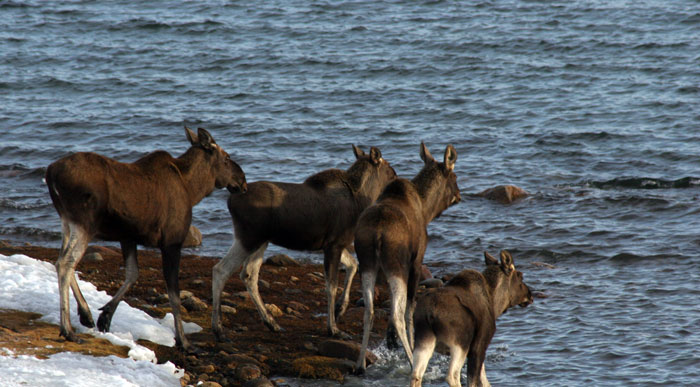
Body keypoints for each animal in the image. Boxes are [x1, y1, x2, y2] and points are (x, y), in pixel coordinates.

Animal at [43, 127, 246, 352]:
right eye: (226, 158)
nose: (242, 180)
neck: (193, 189)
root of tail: (50, 173)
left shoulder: (128, 237)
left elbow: (133, 274)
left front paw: (105, 316)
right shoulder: (172, 242)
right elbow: (174, 295)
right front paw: (183, 341)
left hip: (67, 222)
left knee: (60, 260)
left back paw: (86, 314)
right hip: (85, 223)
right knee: (66, 262)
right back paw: (68, 330)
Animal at [211, 144, 396, 342]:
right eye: (391, 172)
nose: (398, 180)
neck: (361, 200)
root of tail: (230, 201)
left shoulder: (335, 244)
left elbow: (352, 266)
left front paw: (340, 309)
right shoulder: (334, 244)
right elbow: (331, 286)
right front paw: (333, 328)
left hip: (260, 241)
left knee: (248, 275)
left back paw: (272, 323)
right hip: (248, 237)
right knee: (221, 270)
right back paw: (219, 330)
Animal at [352, 142, 462, 372]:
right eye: (454, 177)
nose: (459, 194)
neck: (427, 209)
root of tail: (377, 233)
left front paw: (391, 342)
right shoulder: (417, 261)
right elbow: (410, 308)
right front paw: (410, 346)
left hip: (367, 263)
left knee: (369, 309)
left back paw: (360, 364)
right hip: (397, 265)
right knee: (397, 313)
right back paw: (413, 362)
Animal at [408, 250, 532, 386]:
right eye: (520, 276)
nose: (530, 295)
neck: (495, 303)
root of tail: (430, 313)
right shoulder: (479, 346)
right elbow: (475, 380)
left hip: (423, 340)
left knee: (416, 375)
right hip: (460, 344)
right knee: (452, 375)